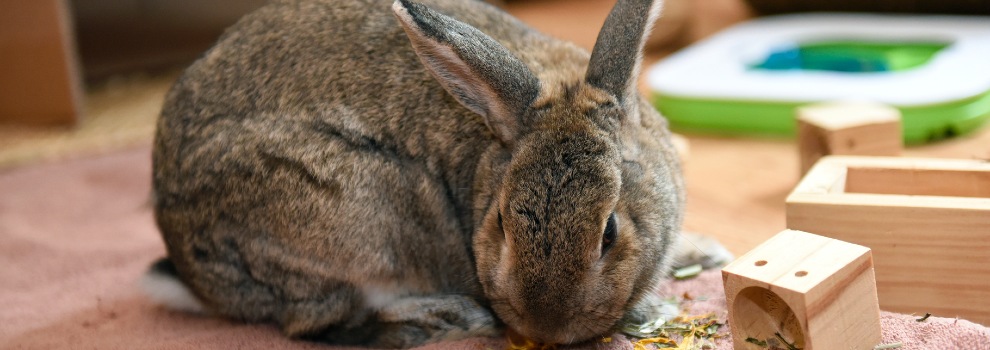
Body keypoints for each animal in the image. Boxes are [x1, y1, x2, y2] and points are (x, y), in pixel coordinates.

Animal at [141, 0, 728, 348]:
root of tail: (190, 272)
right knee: (321, 320)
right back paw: (445, 318)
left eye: (609, 232)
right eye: (501, 223)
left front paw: (705, 253)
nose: (545, 327)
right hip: (361, 214)